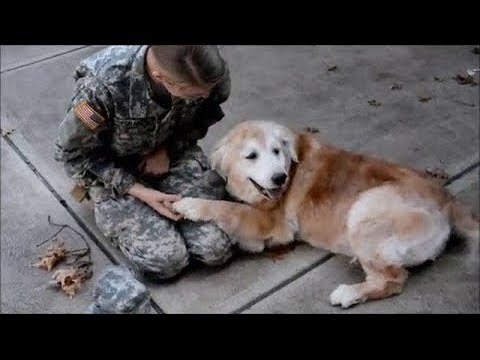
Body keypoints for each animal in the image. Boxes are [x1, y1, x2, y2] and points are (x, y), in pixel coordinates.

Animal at [173, 120, 480, 306]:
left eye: (276, 151)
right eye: (251, 156)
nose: (280, 178)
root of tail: (448, 200)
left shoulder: (270, 223)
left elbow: (227, 208)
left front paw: (189, 204)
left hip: (363, 210)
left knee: (393, 279)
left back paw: (349, 293)